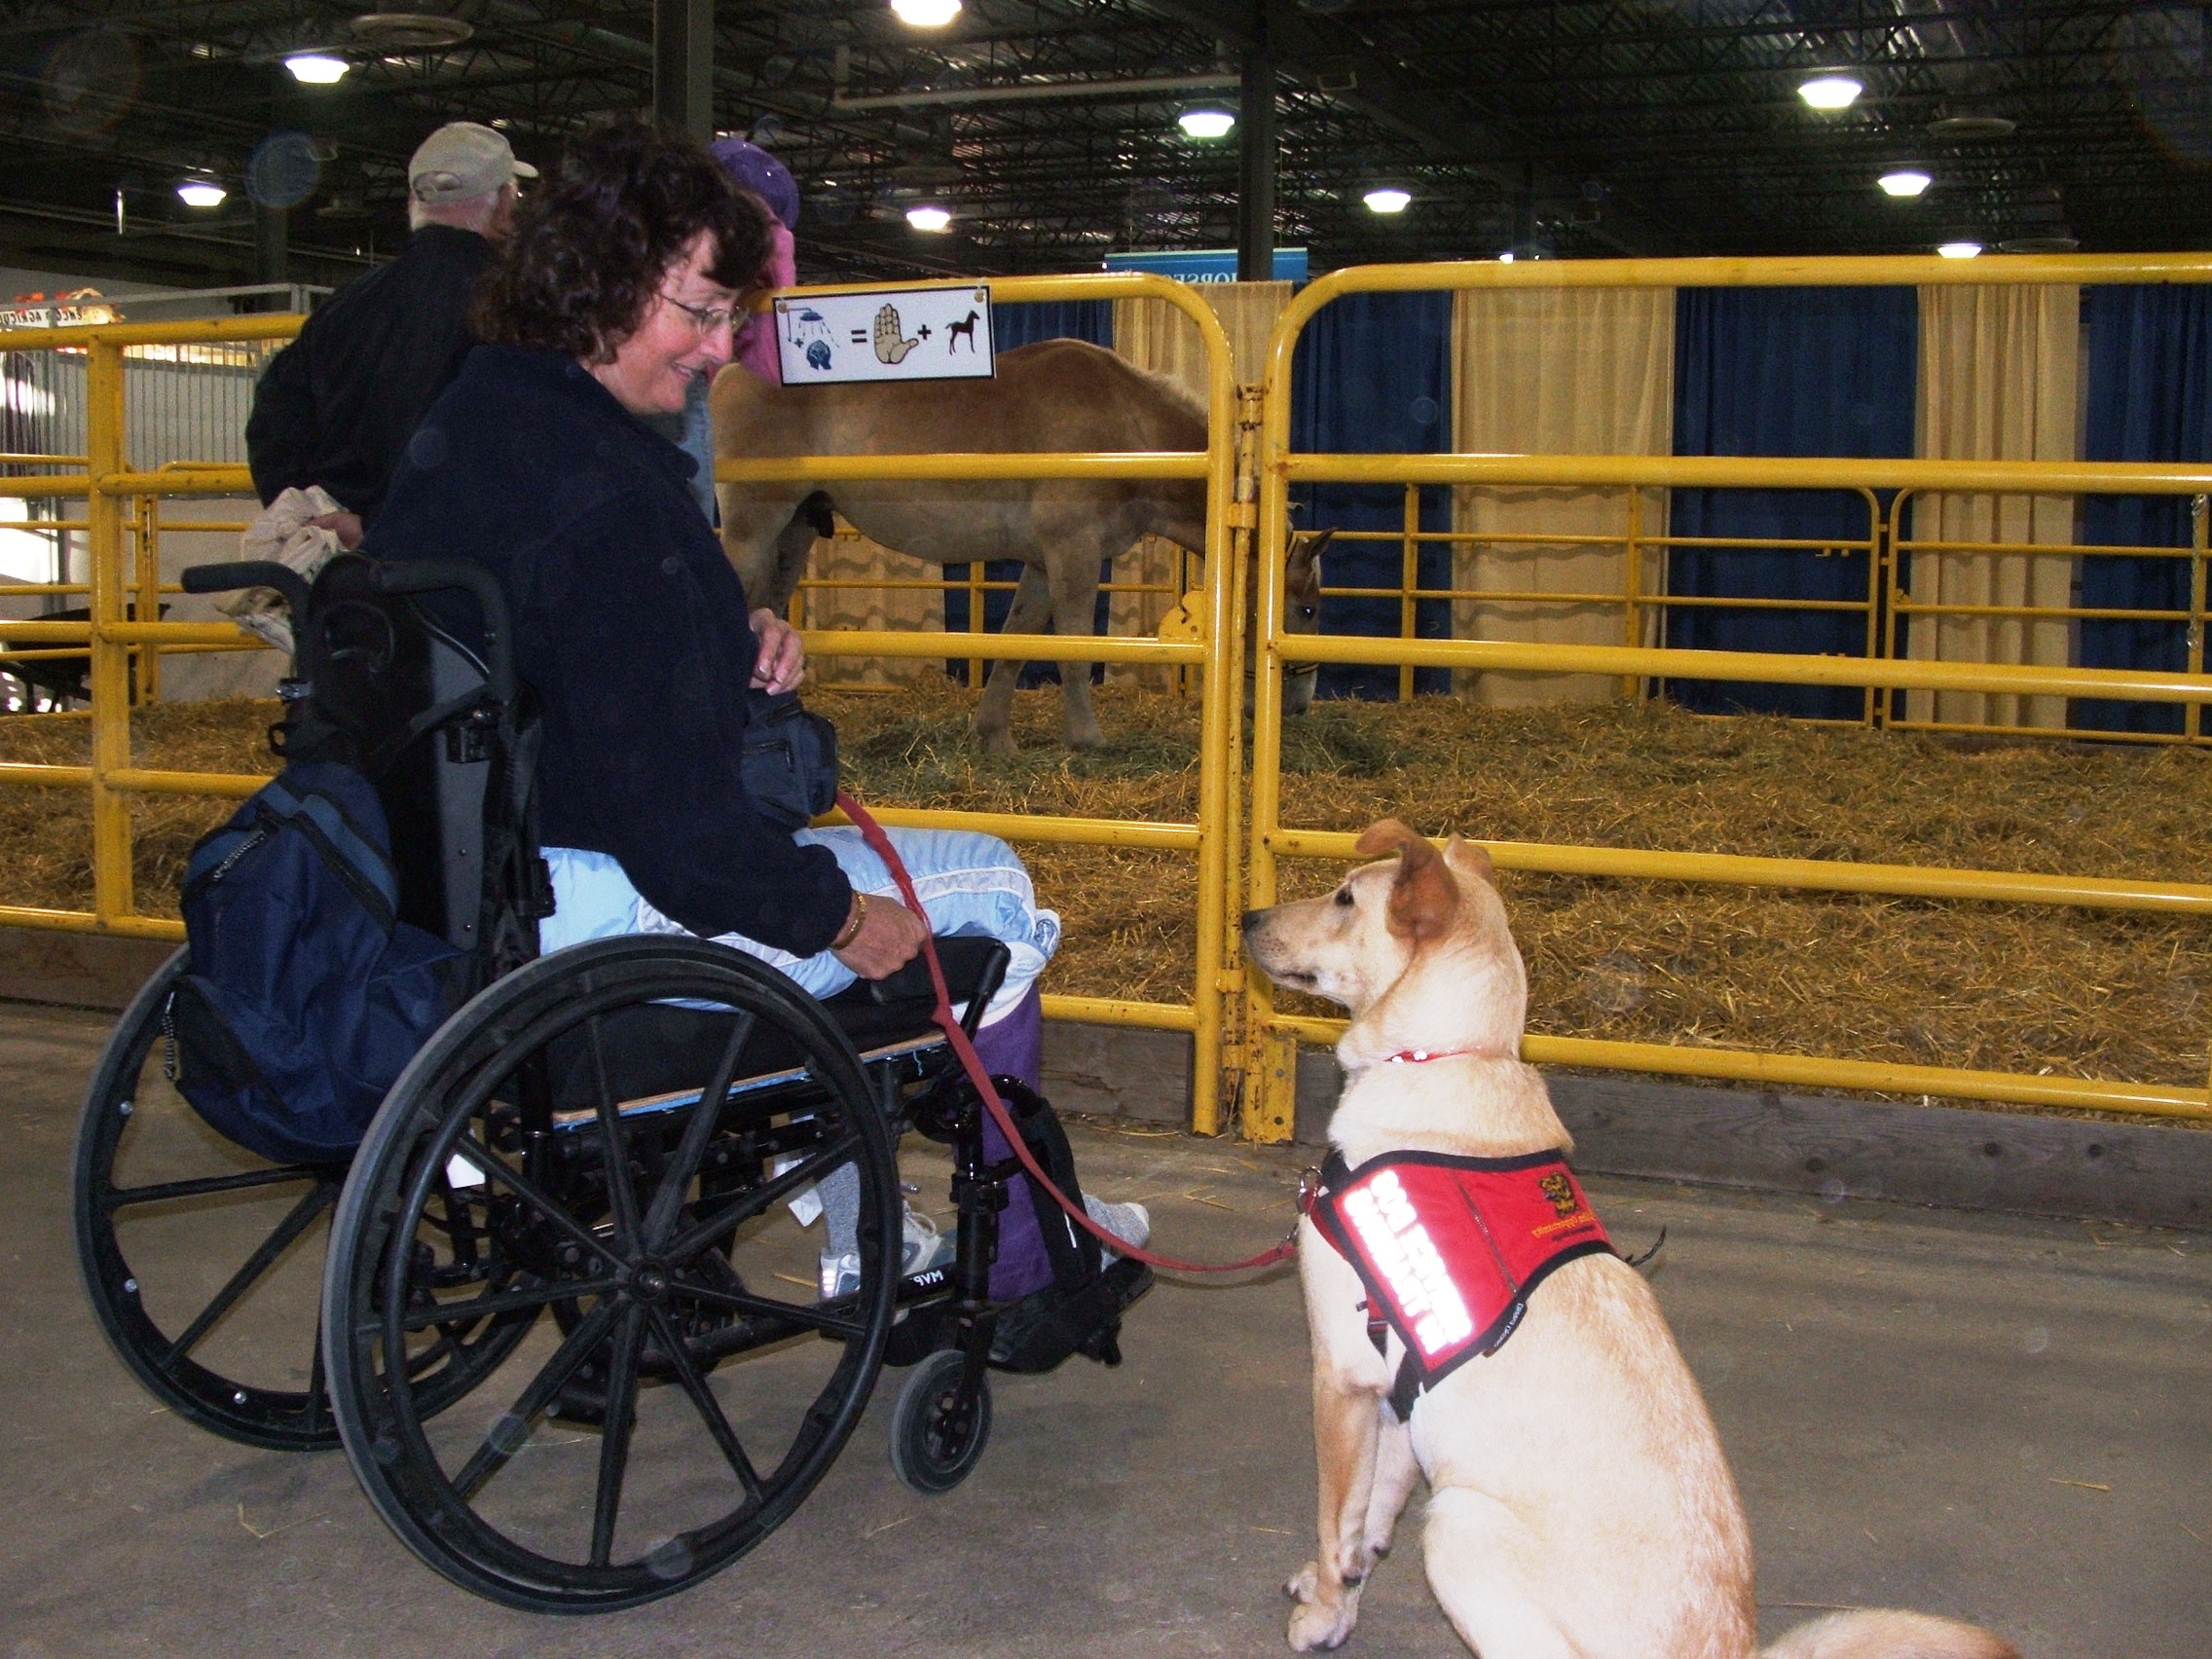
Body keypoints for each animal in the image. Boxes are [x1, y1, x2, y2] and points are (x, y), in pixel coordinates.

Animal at [717, 340, 1318, 756]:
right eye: (1309, 609)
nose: (1297, 706)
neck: (1125, 423)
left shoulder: (1042, 563)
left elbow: (1016, 640)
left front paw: (994, 736)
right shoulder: (1074, 553)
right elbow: (1073, 649)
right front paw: (1086, 739)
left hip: (792, 535)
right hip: (753, 527)